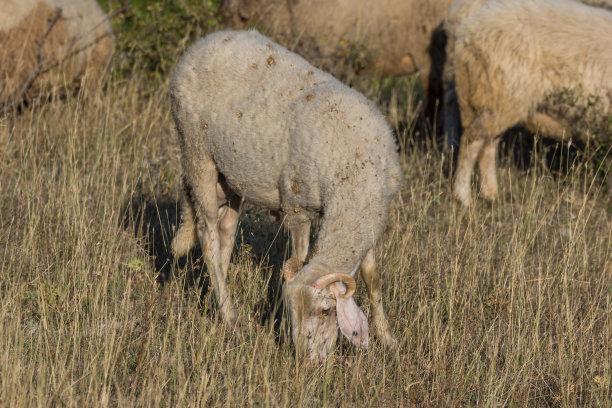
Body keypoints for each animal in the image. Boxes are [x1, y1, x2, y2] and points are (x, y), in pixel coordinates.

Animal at [170, 29, 404, 360]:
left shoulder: (371, 217)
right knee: (208, 237)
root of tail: (208, 39)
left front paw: (387, 338)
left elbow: (372, 277)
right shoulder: (297, 208)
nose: (305, 364)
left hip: (229, 178)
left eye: (325, 311)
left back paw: (221, 301)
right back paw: (230, 317)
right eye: (293, 312)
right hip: (196, 152)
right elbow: (300, 256)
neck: (355, 174)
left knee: (226, 233)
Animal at [450, 0, 612, 206]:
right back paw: (463, 196)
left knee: (487, 145)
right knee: (471, 141)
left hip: (495, 102)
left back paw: (491, 194)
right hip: (501, 96)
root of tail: (467, 30)